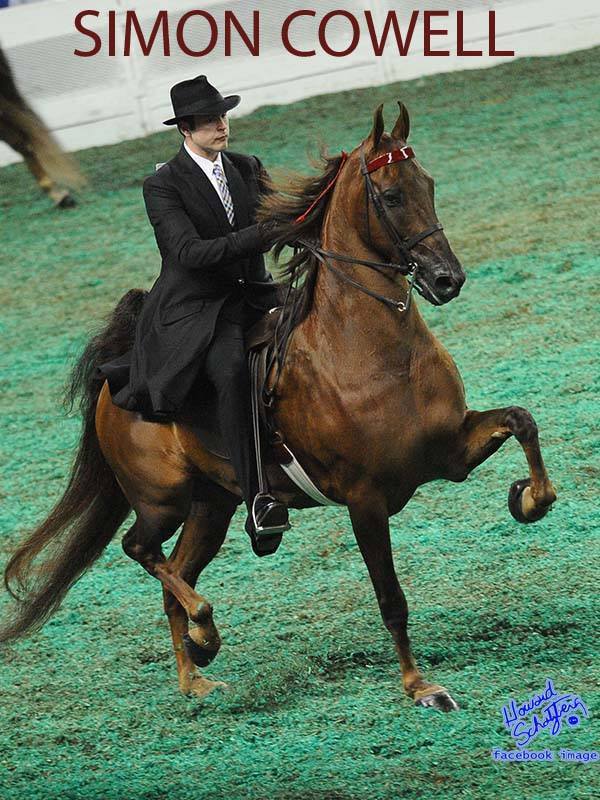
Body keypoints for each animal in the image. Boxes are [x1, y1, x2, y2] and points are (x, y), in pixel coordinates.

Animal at [1, 102, 557, 712]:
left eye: (428, 185)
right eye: (390, 197)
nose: (446, 279)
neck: (372, 351)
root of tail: (116, 378)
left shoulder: (449, 453)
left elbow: (521, 420)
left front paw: (530, 499)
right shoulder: (365, 499)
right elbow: (391, 597)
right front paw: (421, 687)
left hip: (213, 506)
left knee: (175, 575)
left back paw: (196, 675)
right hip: (161, 500)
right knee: (142, 550)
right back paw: (205, 634)